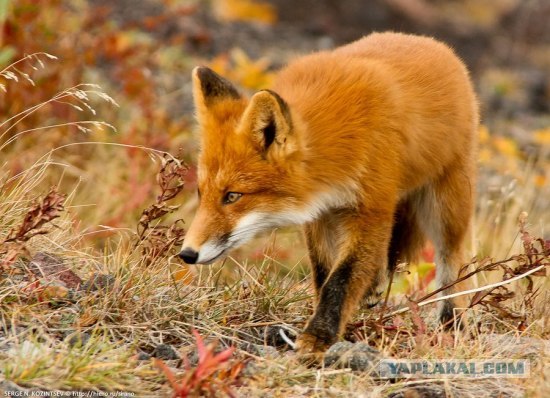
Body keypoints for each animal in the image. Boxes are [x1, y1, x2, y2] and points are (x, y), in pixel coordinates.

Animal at [180, 31, 478, 354]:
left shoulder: (371, 209)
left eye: (233, 196)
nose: (187, 254)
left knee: (451, 263)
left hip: (446, 207)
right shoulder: (321, 214)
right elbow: (325, 275)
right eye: (202, 193)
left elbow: (342, 279)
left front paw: (318, 337)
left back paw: (452, 323)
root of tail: (429, 42)